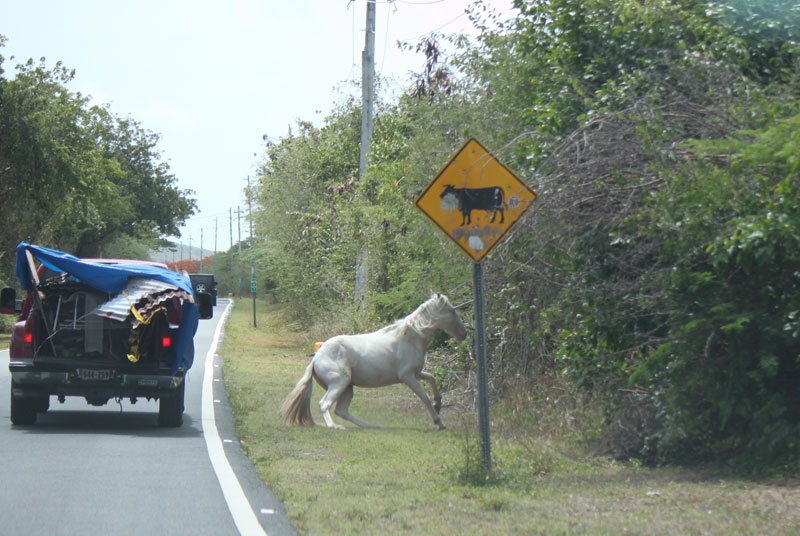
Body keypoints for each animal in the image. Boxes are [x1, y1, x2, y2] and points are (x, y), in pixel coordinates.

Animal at [282, 294, 468, 432]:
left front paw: (439, 405)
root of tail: (316, 357)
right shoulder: (408, 377)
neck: (411, 337)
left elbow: (432, 379)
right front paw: (439, 422)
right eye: (452, 311)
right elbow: (424, 397)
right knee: (324, 404)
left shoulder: (417, 373)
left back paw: (370, 426)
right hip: (339, 383)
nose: (464, 334)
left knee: (341, 410)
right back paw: (334, 426)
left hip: (348, 388)